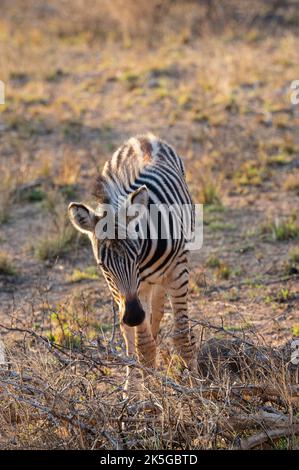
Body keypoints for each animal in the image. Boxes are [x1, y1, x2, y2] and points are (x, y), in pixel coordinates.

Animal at [69, 134, 198, 392]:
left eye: (135, 256)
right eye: (102, 266)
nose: (132, 316)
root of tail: (142, 138)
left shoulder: (178, 269)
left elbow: (181, 335)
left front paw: (199, 384)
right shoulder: (131, 291)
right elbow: (142, 345)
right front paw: (149, 391)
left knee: (156, 313)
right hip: (127, 293)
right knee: (132, 335)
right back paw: (130, 386)